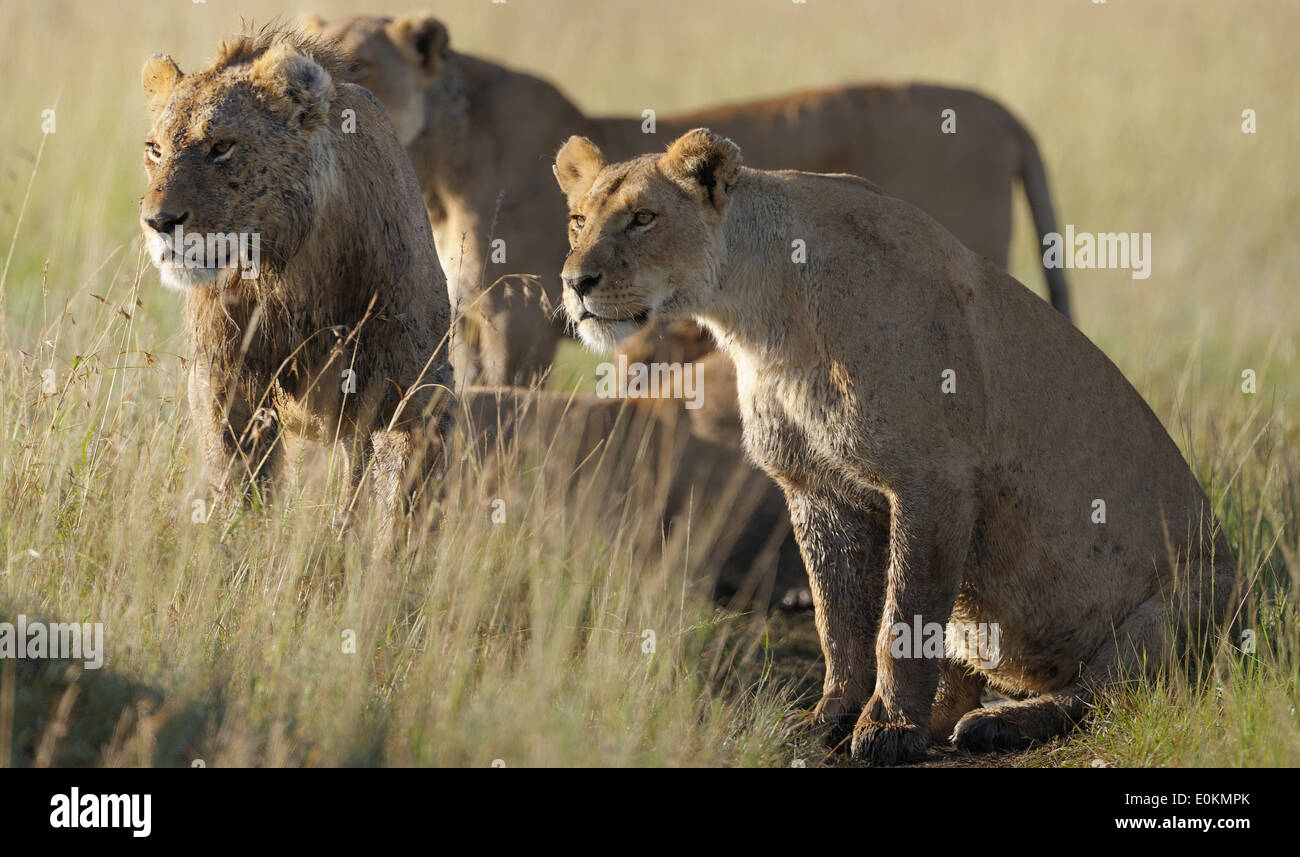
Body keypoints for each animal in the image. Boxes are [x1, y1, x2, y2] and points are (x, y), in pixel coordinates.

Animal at [139, 28, 454, 543]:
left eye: (221, 146)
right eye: (155, 149)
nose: (157, 222)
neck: (290, 271)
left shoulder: (414, 391)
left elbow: (402, 503)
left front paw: (387, 561)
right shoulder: (225, 381)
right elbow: (242, 483)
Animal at [306, 10, 1076, 384]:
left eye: (361, 62)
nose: (314, 92)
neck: (432, 168)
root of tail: (1000, 111)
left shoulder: (512, 317)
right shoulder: (466, 316)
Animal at [551, 127, 1237, 764]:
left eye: (643, 218)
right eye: (578, 221)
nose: (575, 282)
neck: (762, 317)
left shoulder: (933, 479)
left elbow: (902, 617)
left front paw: (887, 730)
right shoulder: (816, 486)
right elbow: (838, 617)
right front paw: (832, 716)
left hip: (1182, 599)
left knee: (1100, 693)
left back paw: (999, 722)